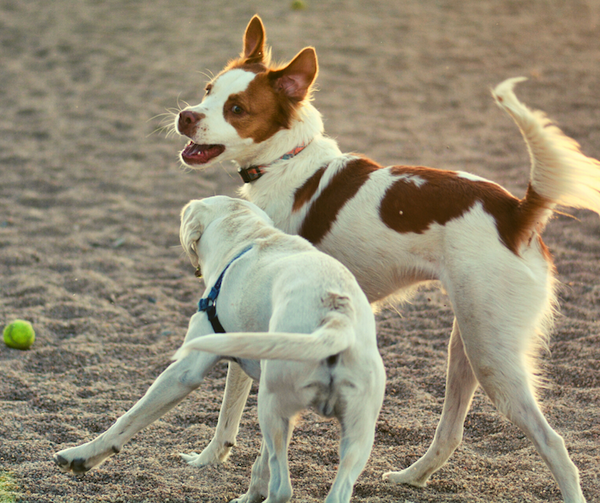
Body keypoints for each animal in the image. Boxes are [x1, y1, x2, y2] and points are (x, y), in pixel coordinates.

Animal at [55, 196, 384, 503]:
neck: (248, 239)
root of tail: (337, 316)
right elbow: (231, 429)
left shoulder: (185, 370)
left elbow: (129, 418)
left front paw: (80, 455)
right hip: (356, 435)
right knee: (333, 489)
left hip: (272, 408)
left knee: (282, 489)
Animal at [170, 15, 600, 503]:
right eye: (208, 90)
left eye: (237, 108)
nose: (186, 116)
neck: (288, 161)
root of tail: (515, 212)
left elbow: (230, 405)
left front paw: (212, 460)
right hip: (469, 343)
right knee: (452, 431)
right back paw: (412, 476)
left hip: (492, 356)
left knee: (554, 443)